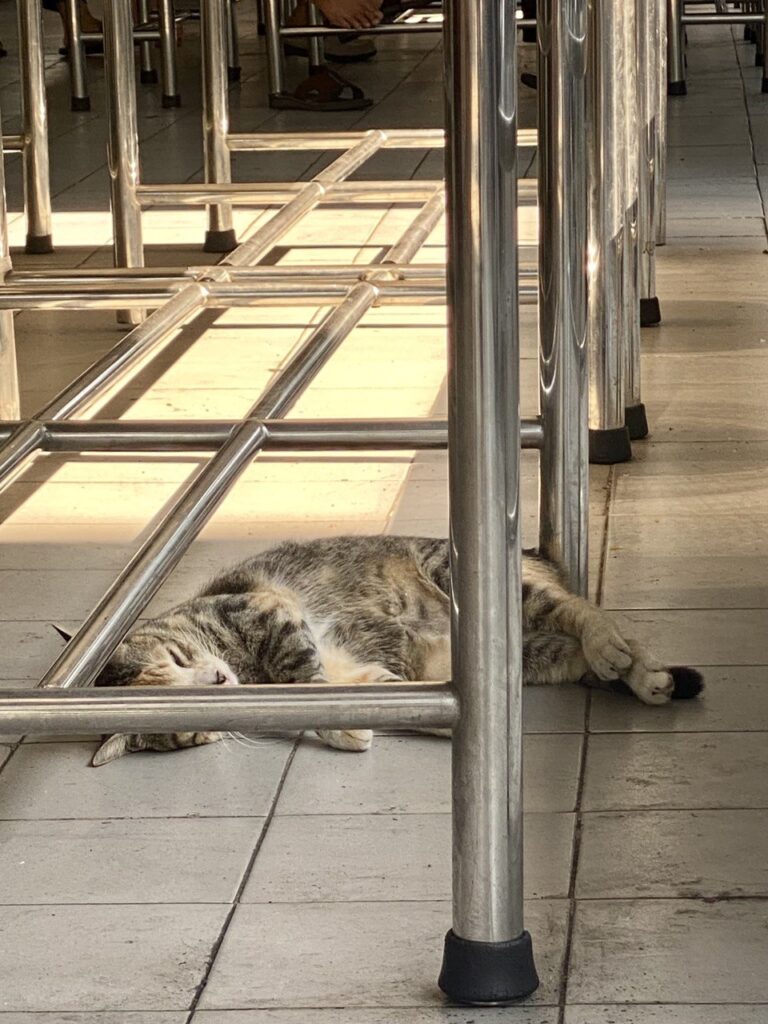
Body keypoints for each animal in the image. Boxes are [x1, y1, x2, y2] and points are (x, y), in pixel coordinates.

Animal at [81, 532, 708, 765]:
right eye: (189, 727)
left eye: (177, 660)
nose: (217, 685)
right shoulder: (374, 676)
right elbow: (389, 696)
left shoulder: (270, 613)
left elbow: (308, 685)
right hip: (532, 654)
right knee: (579, 645)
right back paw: (647, 676)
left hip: (466, 577)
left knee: (587, 612)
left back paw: (615, 652)